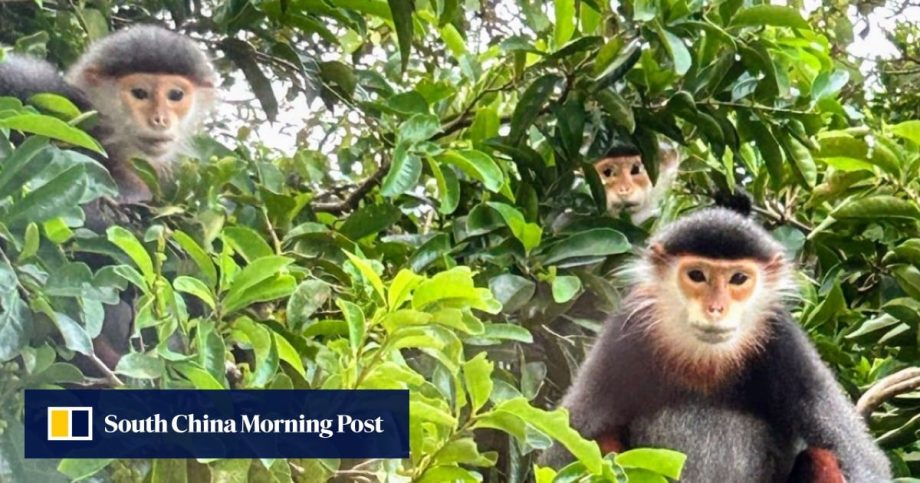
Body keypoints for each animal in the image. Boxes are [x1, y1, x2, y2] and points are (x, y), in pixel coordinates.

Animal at [539, 206, 891, 482]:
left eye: (738, 279)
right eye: (697, 275)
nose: (716, 308)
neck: (706, 362)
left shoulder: (785, 343)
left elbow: (862, 462)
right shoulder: (625, 332)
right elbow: (561, 450)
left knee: (822, 456)